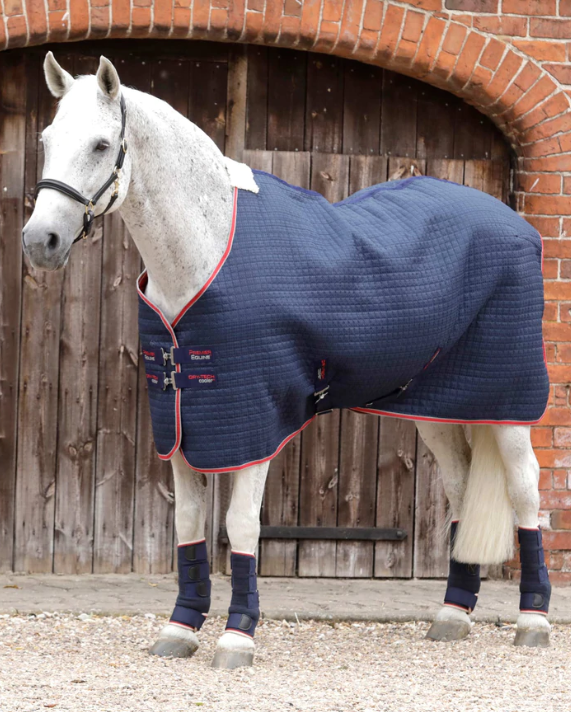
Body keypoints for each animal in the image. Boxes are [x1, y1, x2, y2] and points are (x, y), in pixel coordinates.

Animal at [21, 52, 552, 669]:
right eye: (47, 139)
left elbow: (241, 526)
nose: (40, 241)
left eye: (102, 144)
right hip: (435, 408)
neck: (207, 249)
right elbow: (188, 523)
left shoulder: (255, 422)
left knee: (527, 492)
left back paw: (533, 621)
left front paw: (237, 636)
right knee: (462, 487)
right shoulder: (181, 422)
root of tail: (517, 225)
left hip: (508, 404)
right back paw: (451, 616)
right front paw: (181, 629)